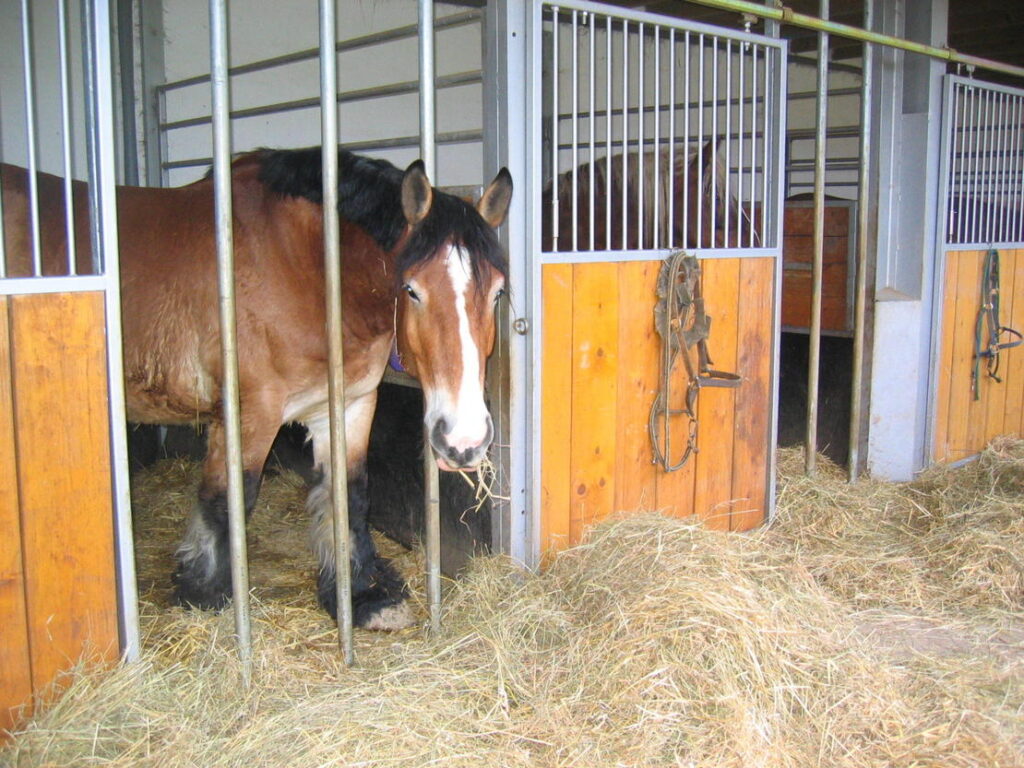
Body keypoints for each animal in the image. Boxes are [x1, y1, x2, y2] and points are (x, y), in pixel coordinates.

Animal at [1, 148, 512, 630]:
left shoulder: (349, 405)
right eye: (411, 290)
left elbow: (349, 493)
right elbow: (228, 500)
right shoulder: (250, 414)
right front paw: (203, 594)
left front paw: (362, 595)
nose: (464, 443)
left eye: (498, 292)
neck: (307, 267)